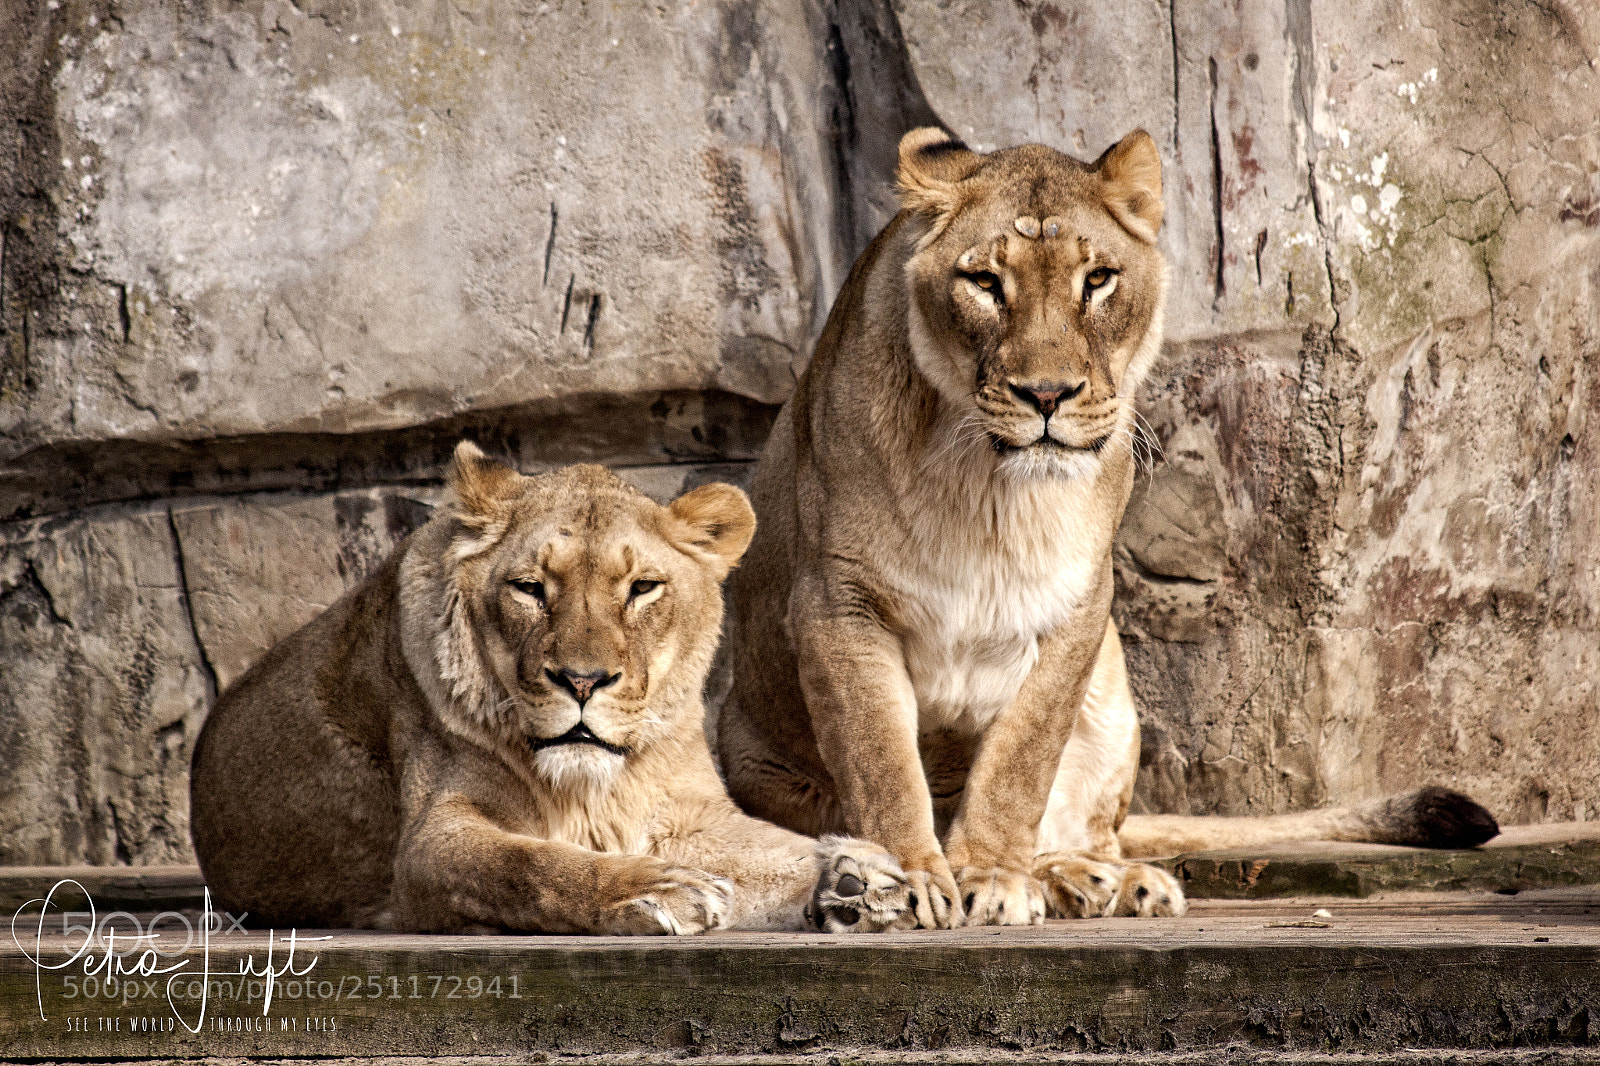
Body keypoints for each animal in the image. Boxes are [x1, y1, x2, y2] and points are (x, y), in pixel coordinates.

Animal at [190, 443, 910, 934]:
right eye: (530, 589)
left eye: (642, 588)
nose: (582, 680)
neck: (597, 785)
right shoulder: (429, 843)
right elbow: (530, 865)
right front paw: (651, 891)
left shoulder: (691, 815)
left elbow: (769, 848)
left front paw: (851, 877)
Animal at [716, 127, 1498, 929]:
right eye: (985, 283)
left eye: (1096, 280)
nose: (1047, 394)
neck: (985, 485)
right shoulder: (838, 602)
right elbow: (879, 759)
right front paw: (903, 879)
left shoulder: (1077, 605)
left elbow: (1021, 760)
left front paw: (992, 876)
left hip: (1114, 696)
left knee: (1094, 831)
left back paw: (1102, 880)